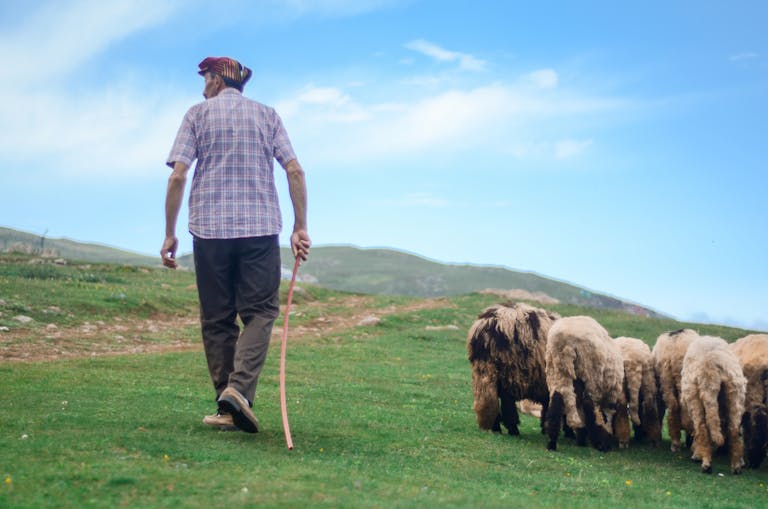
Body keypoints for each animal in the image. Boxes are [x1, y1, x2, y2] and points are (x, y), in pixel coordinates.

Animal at [545, 315, 624, 452]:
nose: (606, 447)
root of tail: (564, 340)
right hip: (590, 377)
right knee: (588, 406)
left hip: (557, 372)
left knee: (556, 402)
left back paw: (552, 442)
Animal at [681, 335, 746, 474]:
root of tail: (711, 365)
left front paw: (696, 454)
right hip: (735, 396)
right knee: (734, 431)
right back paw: (736, 467)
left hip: (695, 400)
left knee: (702, 429)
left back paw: (706, 465)